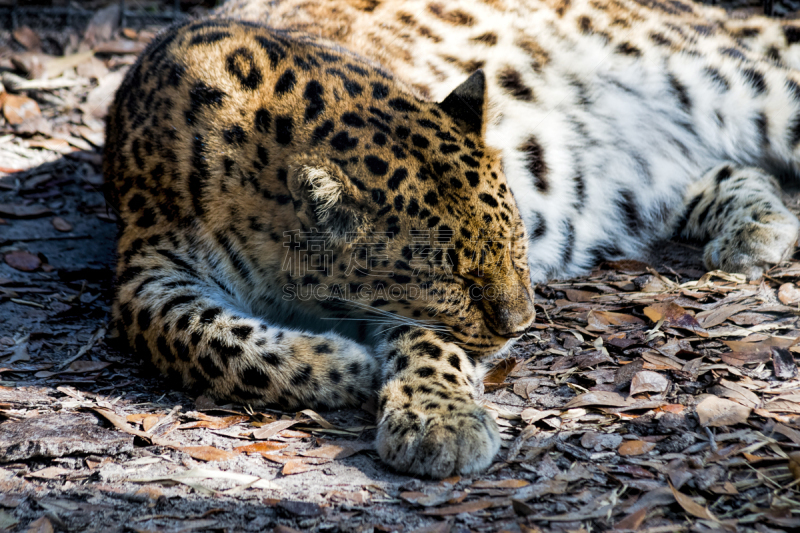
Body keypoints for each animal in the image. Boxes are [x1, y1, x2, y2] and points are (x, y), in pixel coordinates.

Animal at [103, 17, 536, 478]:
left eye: (516, 242)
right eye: (453, 279)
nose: (521, 326)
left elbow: (432, 344)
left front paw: (440, 419)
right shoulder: (149, 274)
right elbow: (216, 339)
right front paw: (352, 366)